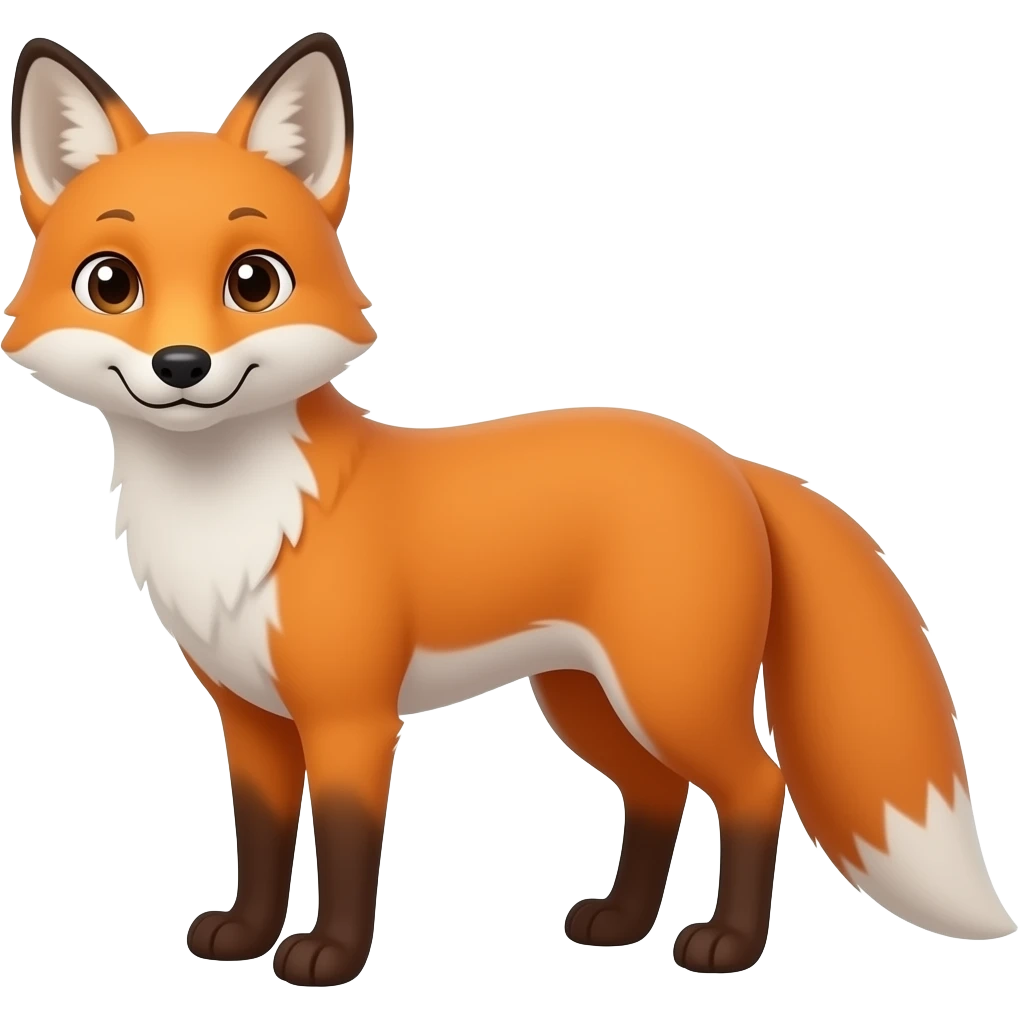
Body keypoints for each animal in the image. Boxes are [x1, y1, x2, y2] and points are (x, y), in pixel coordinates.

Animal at [3, 31, 1015, 988]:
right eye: (110, 282)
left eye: (254, 281)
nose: (181, 366)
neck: (232, 516)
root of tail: (726, 459)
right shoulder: (249, 717)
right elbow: (258, 839)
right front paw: (246, 938)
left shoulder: (351, 716)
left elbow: (346, 847)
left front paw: (330, 956)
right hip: (588, 700)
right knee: (657, 793)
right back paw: (620, 923)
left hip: (669, 693)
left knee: (756, 786)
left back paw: (726, 944)